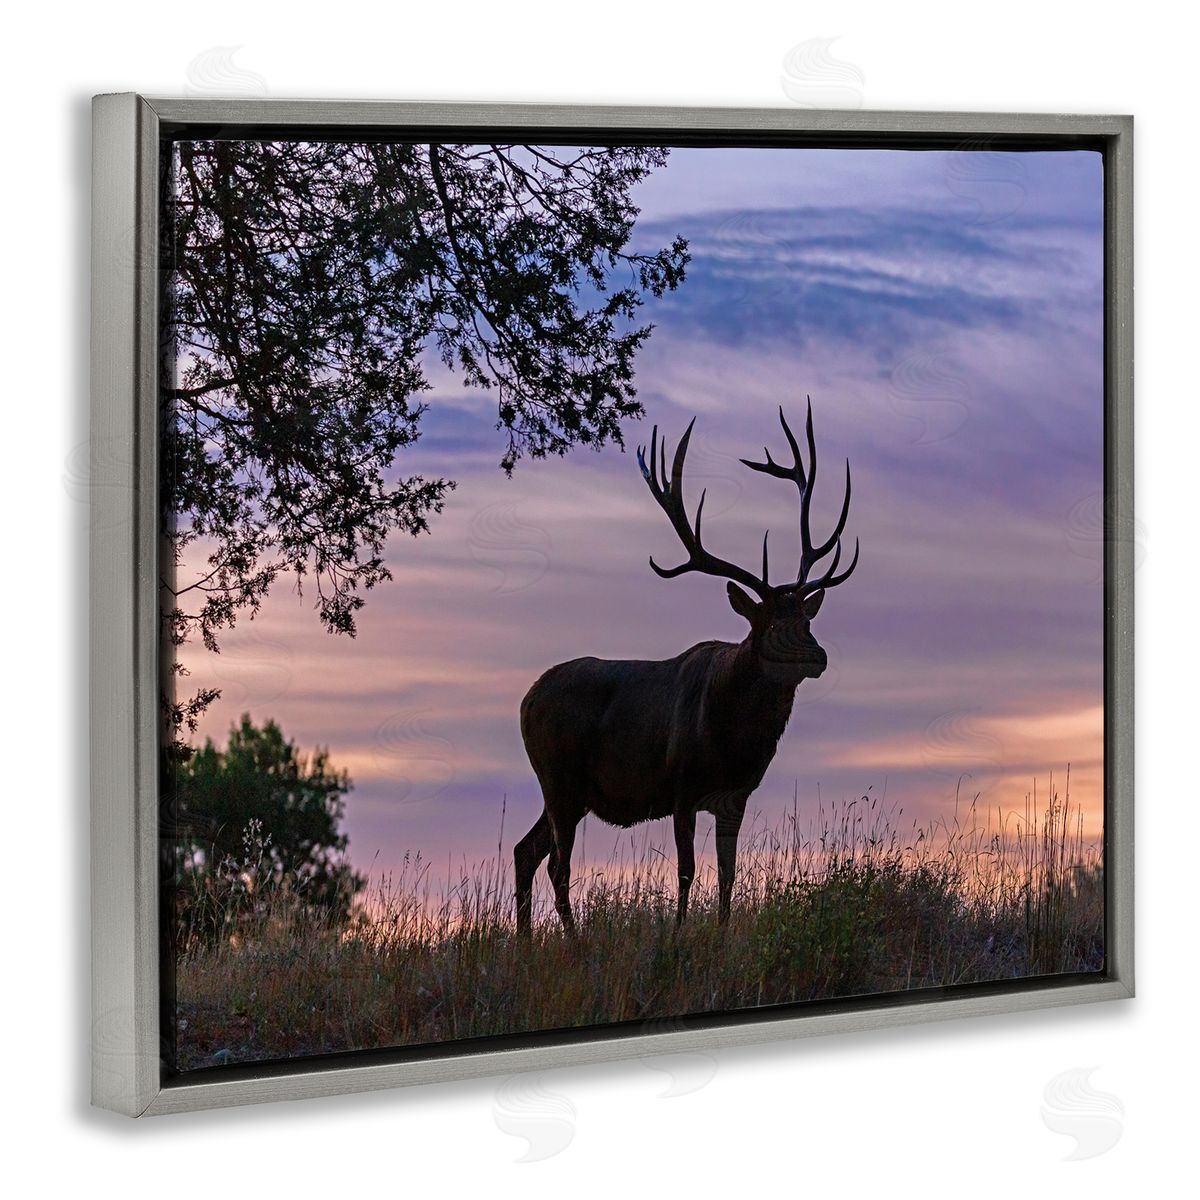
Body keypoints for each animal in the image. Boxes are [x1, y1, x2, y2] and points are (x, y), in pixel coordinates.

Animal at [515, 400, 859, 937]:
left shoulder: (735, 796)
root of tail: (525, 700)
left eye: (806, 618)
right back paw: (572, 941)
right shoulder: (680, 786)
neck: (735, 742)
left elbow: (727, 874)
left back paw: (527, 942)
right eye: (768, 623)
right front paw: (676, 939)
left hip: (568, 790)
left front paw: (720, 936)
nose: (817, 655)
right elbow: (686, 870)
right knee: (556, 863)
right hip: (558, 776)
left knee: (525, 850)